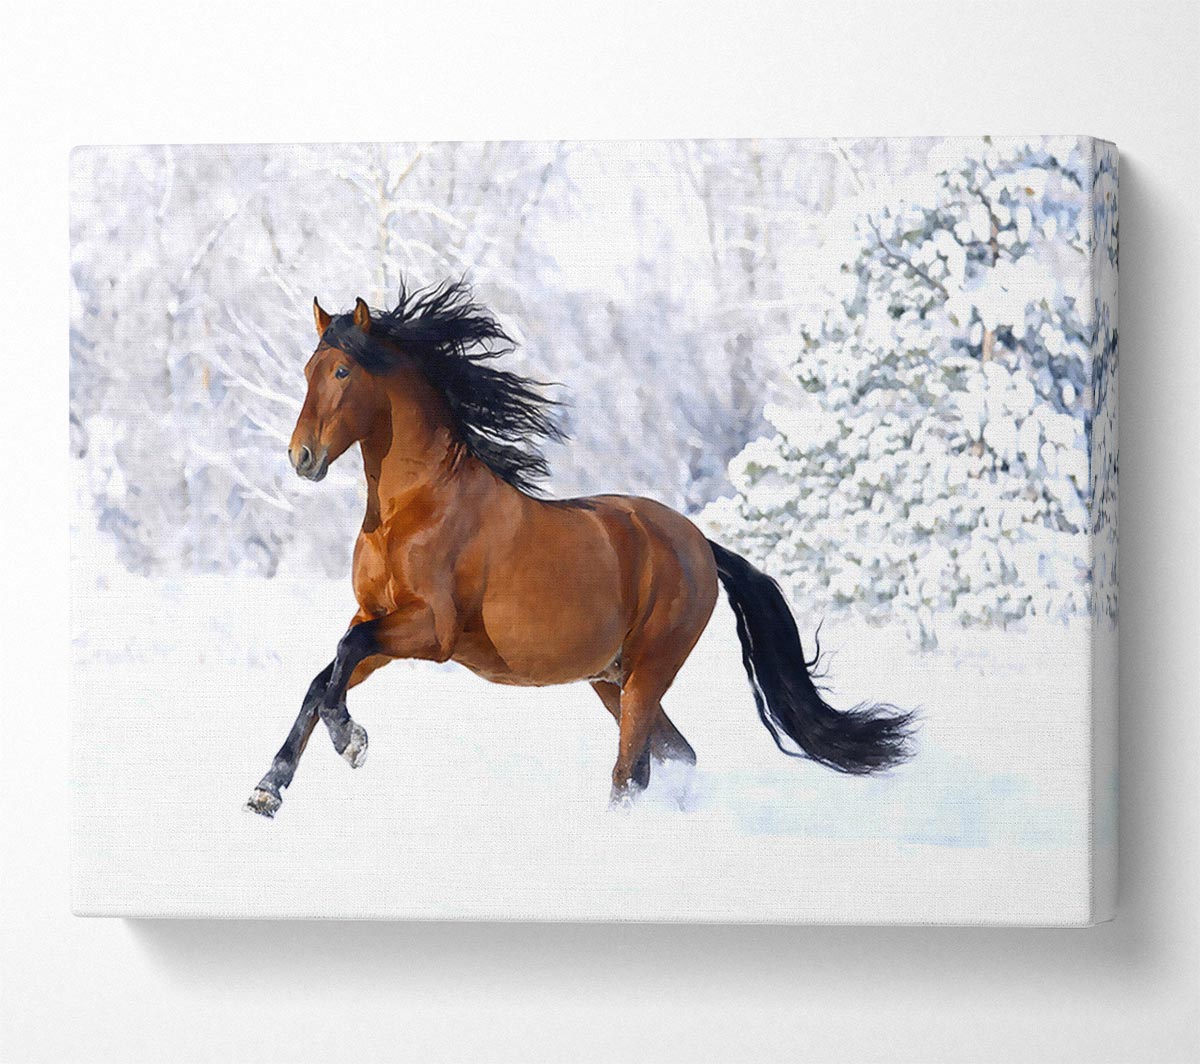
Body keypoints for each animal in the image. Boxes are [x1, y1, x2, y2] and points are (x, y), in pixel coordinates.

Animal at [245, 281, 914, 818]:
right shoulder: (377, 617)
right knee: (675, 755)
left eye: (342, 373)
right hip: (611, 679)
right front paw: (268, 789)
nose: (301, 457)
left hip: (648, 671)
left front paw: (351, 742)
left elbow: (342, 656)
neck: (414, 508)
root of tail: (699, 542)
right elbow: (323, 677)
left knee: (631, 769)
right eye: (306, 371)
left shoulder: (430, 631)